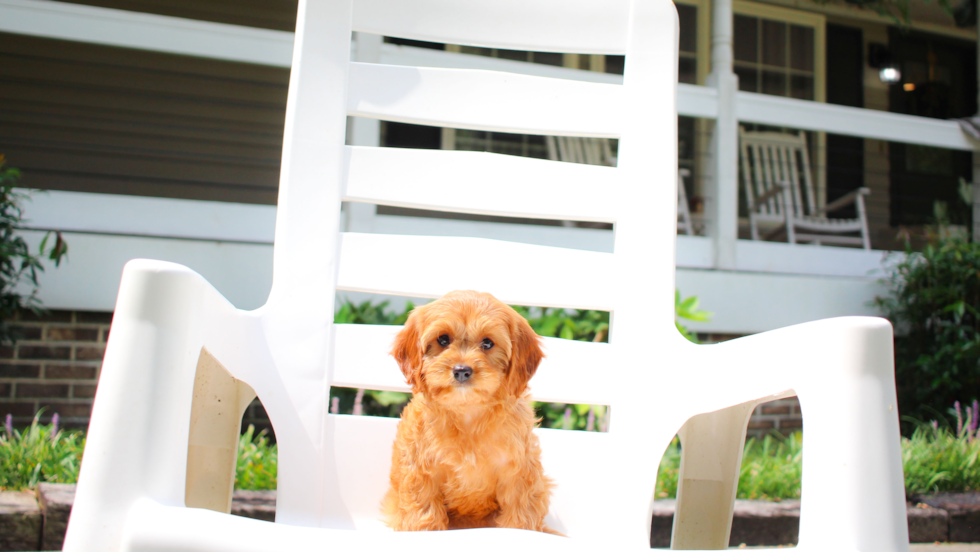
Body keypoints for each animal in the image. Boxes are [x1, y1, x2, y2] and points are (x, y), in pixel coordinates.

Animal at [380, 292, 556, 532]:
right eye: (443, 340)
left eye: (487, 343)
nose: (462, 370)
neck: (468, 413)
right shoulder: (421, 472)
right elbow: (423, 515)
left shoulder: (519, 474)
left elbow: (520, 517)